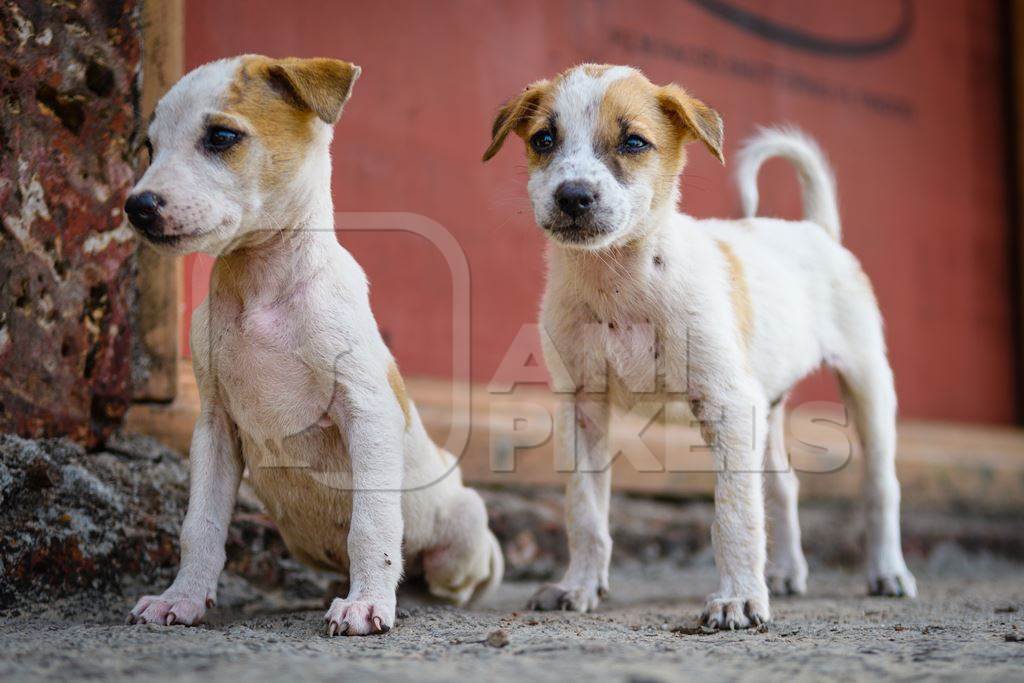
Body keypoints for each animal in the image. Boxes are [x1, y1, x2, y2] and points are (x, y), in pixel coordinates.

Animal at [124, 56, 503, 638]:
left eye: (221, 137)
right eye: (149, 147)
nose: (137, 206)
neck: (260, 284)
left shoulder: (366, 411)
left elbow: (371, 524)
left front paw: (366, 604)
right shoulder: (214, 427)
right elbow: (200, 526)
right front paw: (181, 599)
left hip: (465, 527)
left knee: (446, 577)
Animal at [483, 65, 917, 630]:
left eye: (634, 141)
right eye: (543, 140)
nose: (573, 196)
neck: (619, 283)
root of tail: (816, 230)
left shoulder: (728, 407)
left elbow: (734, 515)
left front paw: (739, 599)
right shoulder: (582, 408)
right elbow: (585, 513)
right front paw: (578, 586)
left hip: (867, 384)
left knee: (880, 486)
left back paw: (888, 572)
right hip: (766, 404)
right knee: (784, 486)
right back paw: (786, 572)